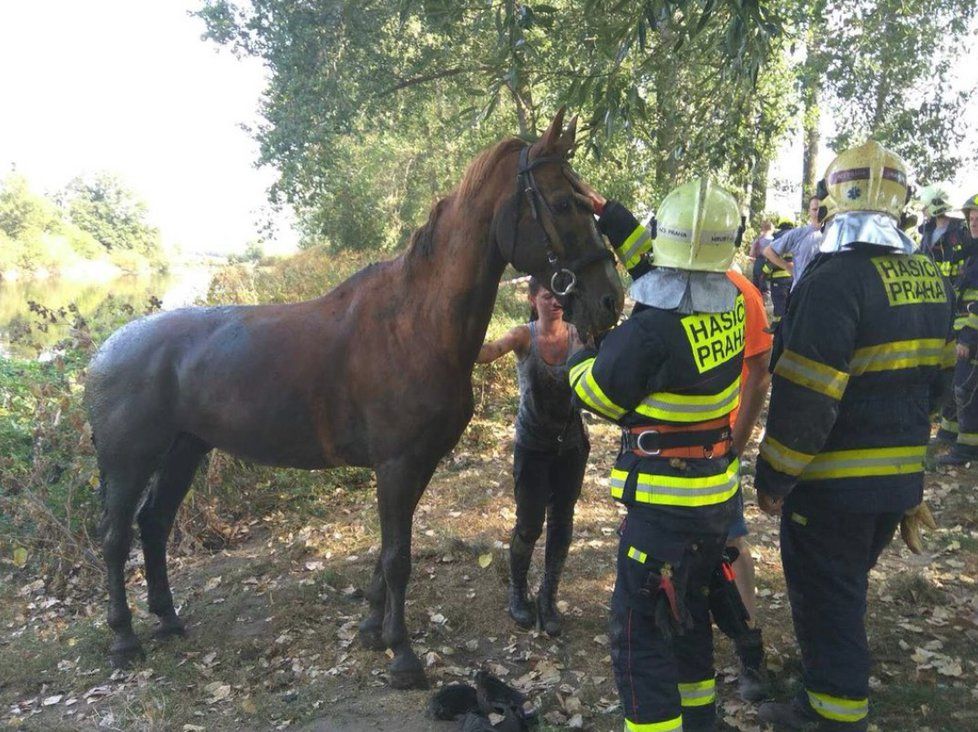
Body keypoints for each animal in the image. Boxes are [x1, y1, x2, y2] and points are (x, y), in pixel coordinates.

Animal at [82, 111, 616, 688]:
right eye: (561, 203)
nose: (610, 298)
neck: (416, 323)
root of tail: (104, 353)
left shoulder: (417, 464)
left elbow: (387, 552)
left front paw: (370, 629)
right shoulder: (397, 464)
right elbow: (399, 557)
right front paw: (402, 655)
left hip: (184, 451)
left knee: (154, 526)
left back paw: (168, 619)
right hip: (131, 463)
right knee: (115, 540)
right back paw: (124, 639)